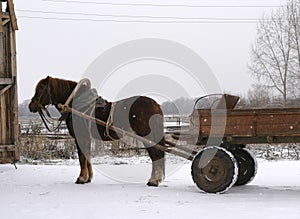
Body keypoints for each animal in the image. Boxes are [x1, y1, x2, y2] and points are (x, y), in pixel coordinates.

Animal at [28, 76, 165, 186]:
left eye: (40, 89)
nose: (31, 106)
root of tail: (156, 105)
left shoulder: (80, 137)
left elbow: (82, 158)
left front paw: (81, 178)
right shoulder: (87, 138)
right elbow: (87, 157)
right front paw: (88, 178)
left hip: (147, 137)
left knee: (155, 155)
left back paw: (153, 181)